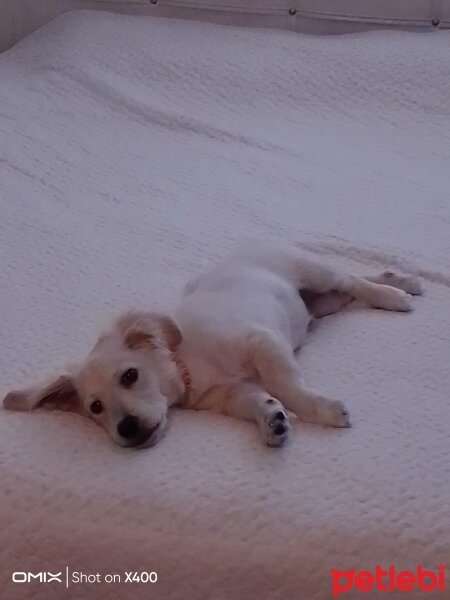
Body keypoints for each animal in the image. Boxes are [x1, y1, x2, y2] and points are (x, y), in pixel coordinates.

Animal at [2, 244, 422, 446]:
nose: (127, 429)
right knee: (350, 290)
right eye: (95, 408)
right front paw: (272, 422)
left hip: (315, 273)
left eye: (130, 376)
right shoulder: (231, 395)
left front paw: (324, 411)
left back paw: (394, 294)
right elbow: (260, 400)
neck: (189, 367)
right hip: (322, 304)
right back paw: (399, 280)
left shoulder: (263, 343)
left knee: (352, 281)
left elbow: (287, 386)